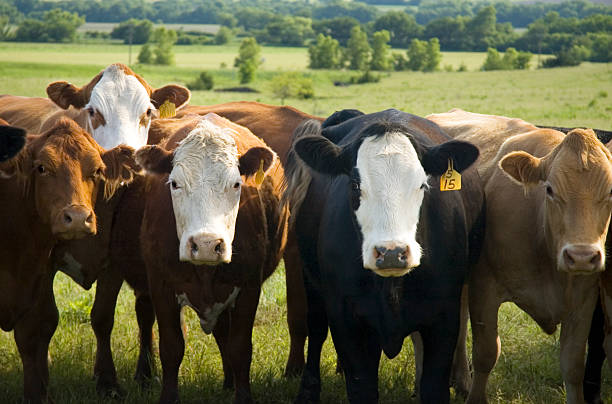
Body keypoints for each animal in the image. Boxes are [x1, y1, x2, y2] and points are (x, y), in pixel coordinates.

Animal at [133, 113, 286, 404]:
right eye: (175, 183)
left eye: (236, 184)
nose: (205, 245)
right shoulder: (160, 286)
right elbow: (171, 347)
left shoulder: (249, 288)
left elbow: (240, 348)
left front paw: (242, 395)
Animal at [284, 108, 486, 404]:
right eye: (355, 185)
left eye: (423, 185)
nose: (392, 253)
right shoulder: (346, 320)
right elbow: (362, 387)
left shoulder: (444, 317)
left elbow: (434, 387)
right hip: (311, 282)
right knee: (317, 328)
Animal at [428, 109, 612, 402]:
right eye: (549, 189)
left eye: (610, 192)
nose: (581, 256)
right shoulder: (485, 289)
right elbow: (486, 353)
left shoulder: (584, 300)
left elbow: (573, 366)